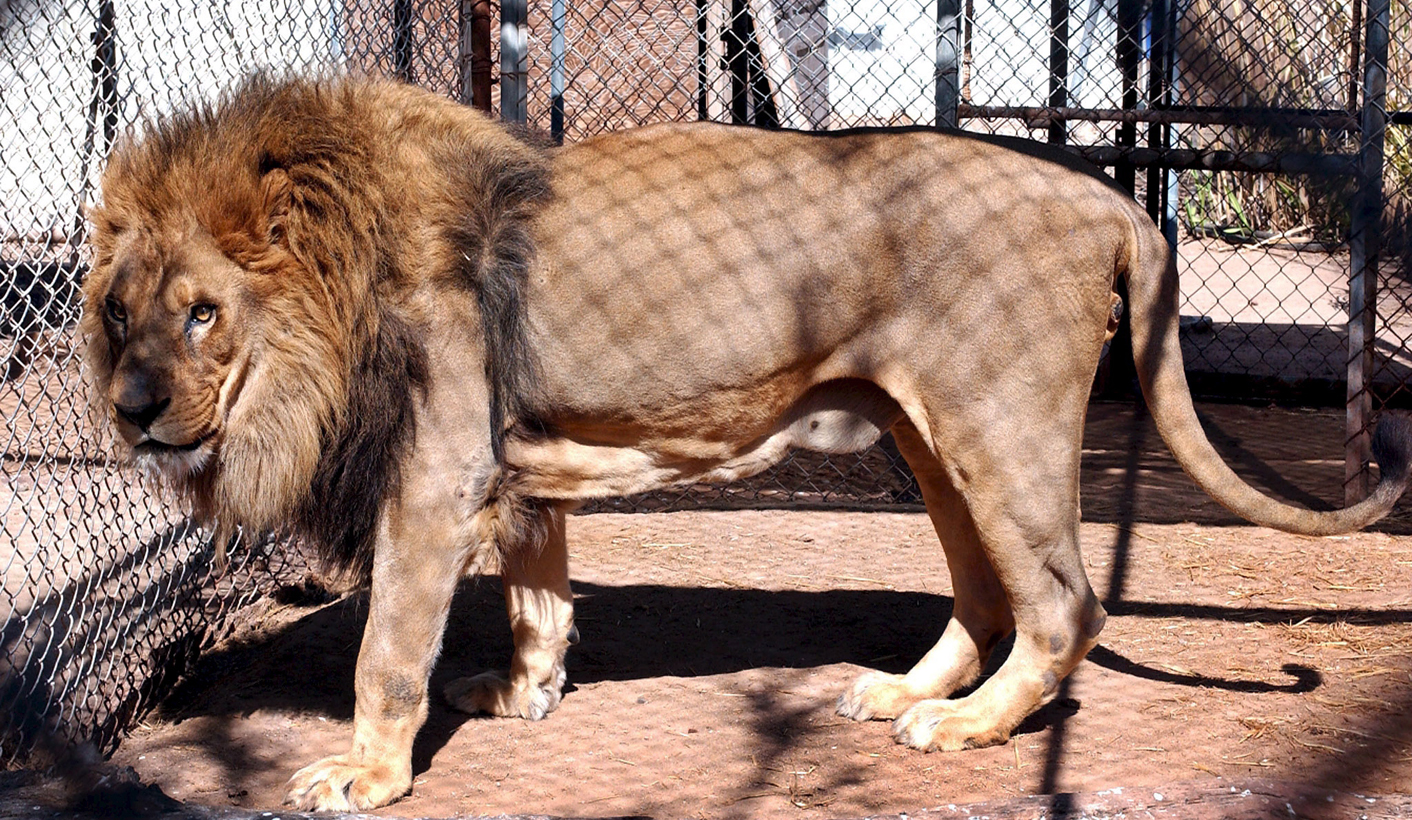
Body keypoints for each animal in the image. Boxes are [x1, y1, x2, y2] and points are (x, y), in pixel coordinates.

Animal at [82, 73, 1410, 811]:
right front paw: (525, 694)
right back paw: (904, 691)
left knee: (1061, 604)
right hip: (926, 435)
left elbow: (385, 654)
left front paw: (366, 776)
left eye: (202, 312)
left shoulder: (434, 474)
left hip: (998, 425)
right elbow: (536, 595)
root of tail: (1110, 195)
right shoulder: (515, 463)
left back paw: (965, 724)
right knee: (985, 596)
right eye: (116, 310)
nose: (133, 409)